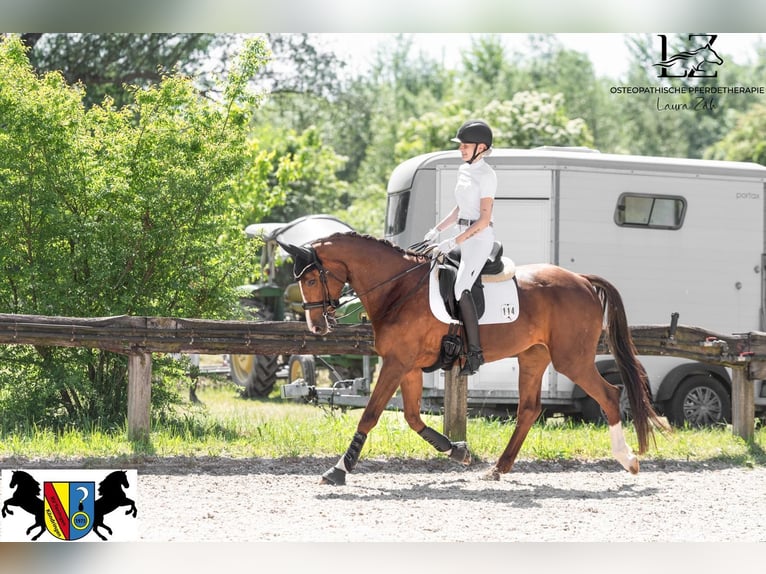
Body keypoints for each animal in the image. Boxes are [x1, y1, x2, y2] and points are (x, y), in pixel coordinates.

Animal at [281, 232, 668, 486]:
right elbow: (412, 418)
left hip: (570, 359)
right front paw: (457, 451)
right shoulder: (407, 365)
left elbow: (371, 415)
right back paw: (498, 468)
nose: (316, 327)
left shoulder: (397, 362)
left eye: (312, 279)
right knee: (529, 410)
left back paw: (628, 460)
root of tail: (582, 280)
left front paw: (338, 470)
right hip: (533, 357)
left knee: (608, 395)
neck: (398, 288)